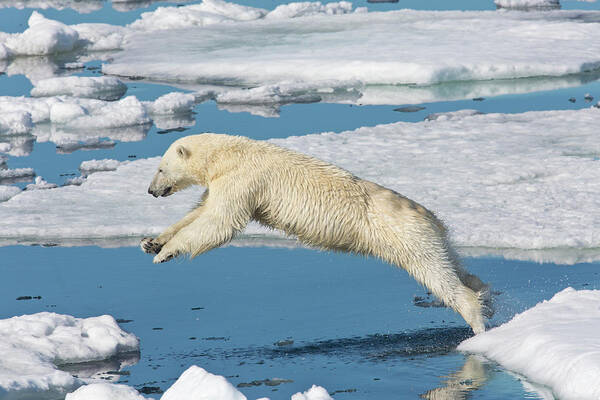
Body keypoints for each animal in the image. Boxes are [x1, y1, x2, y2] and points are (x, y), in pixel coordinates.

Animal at [141, 133, 492, 332]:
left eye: (160, 168)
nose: (150, 191)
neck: (229, 154)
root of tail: (430, 218)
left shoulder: (243, 180)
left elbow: (219, 221)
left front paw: (166, 253)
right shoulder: (224, 181)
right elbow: (200, 211)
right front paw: (152, 242)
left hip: (407, 238)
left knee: (438, 276)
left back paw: (476, 324)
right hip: (433, 238)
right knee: (456, 267)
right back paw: (484, 294)